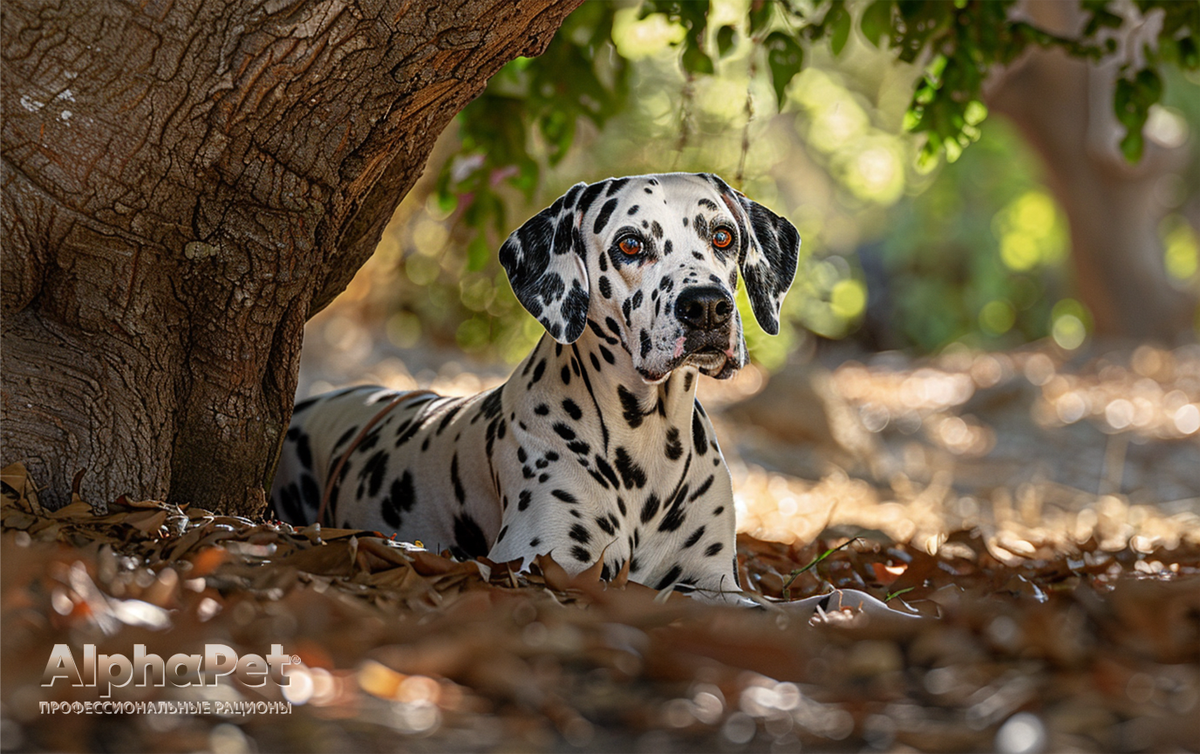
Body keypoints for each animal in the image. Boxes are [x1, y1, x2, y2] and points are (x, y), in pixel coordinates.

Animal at [272, 170, 796, 600]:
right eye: (630, 245)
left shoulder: (715, 583)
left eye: (723, 236)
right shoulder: (542, 561)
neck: (646, 444)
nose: (706, 306)